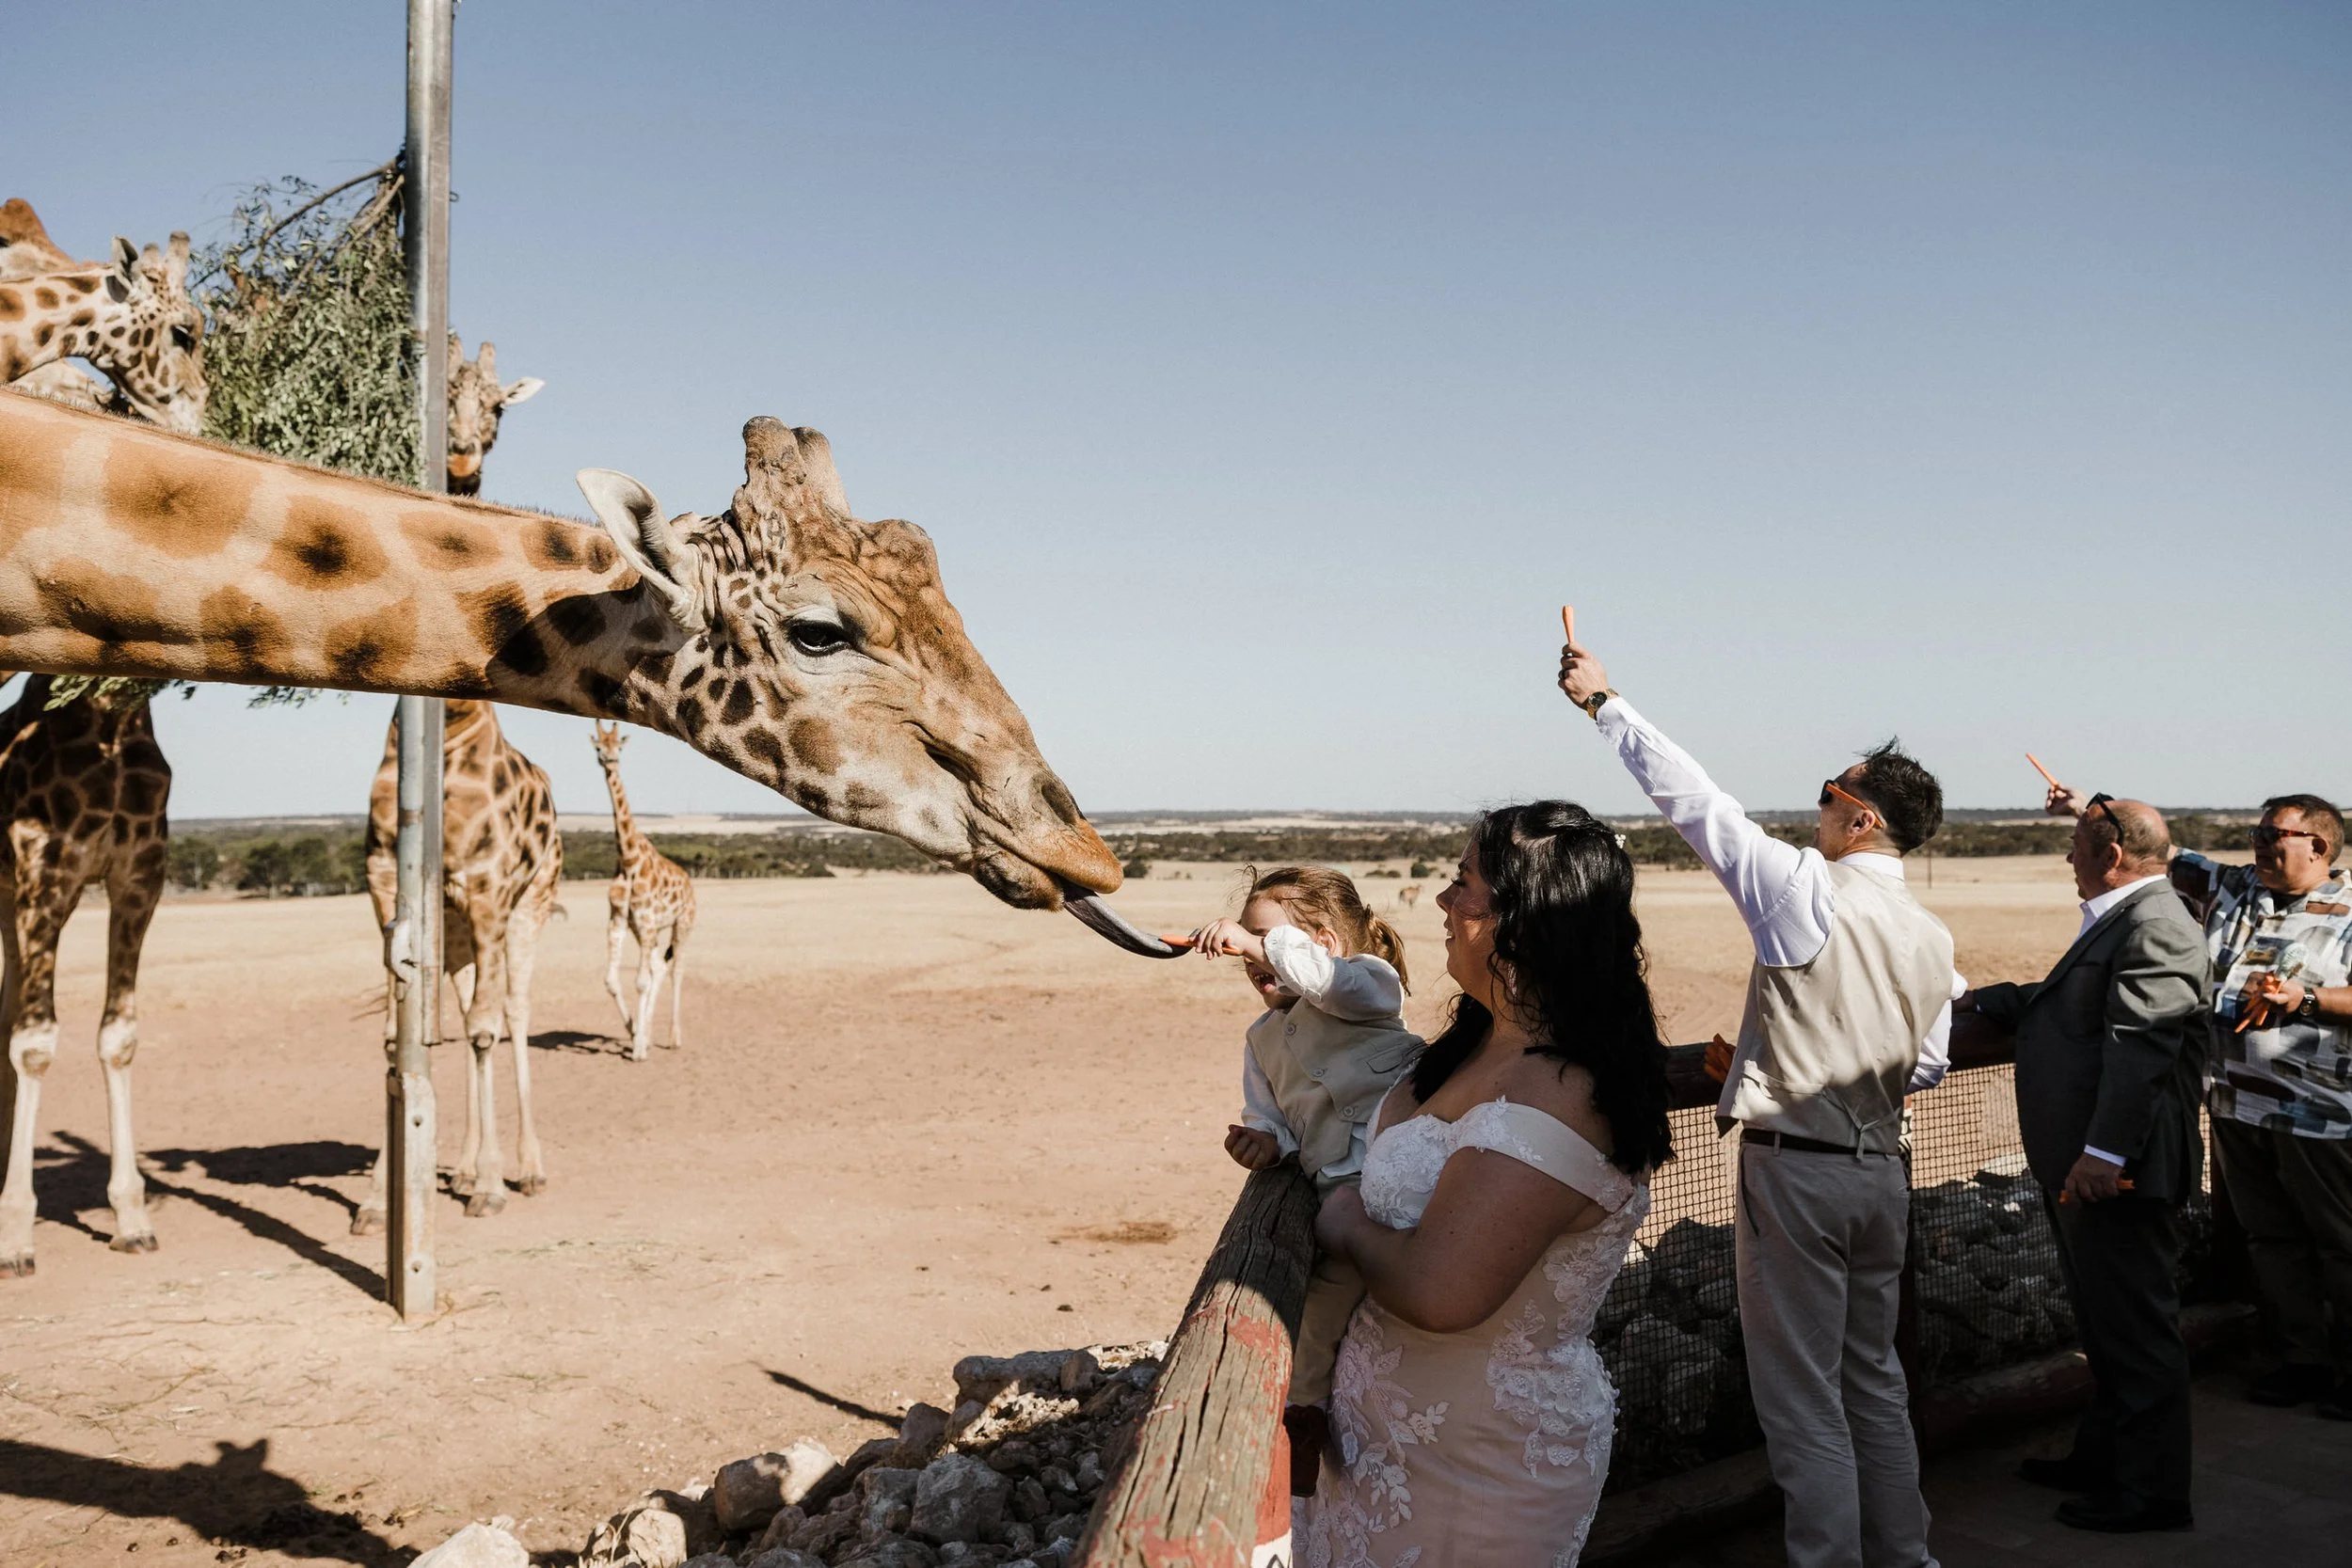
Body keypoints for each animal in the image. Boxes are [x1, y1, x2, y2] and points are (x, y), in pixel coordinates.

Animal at [0, 675, 172, 1274]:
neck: (110, 727)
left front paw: (132, 1221)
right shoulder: (45, 871)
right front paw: (14, 1239)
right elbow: (34, 1045)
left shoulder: (139, 875)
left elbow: (118, 1037)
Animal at [354, 700, 561, 1226]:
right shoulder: (383, 877)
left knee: (513, 1011)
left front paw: (491, 1188)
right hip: (458, 932)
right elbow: (396, 1037)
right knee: (470, 1013)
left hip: (530, 905)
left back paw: (529, 1171)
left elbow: (486, 1030)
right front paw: (377, 1200)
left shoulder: (489, 887)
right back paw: (465, 1170)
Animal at [589, 721, 694, 1061]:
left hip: (682, 924)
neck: (628, 858)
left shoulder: (647, 921)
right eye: (599, 747)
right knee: (659, 967)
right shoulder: (620, 919)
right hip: (645, 930)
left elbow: (640, 981)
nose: (609, 761)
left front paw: (637, 1048)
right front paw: (634, 1031)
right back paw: (645, 1034)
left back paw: (673, 1037)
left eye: (619, 747)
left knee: (675, 970)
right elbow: (612, 980)